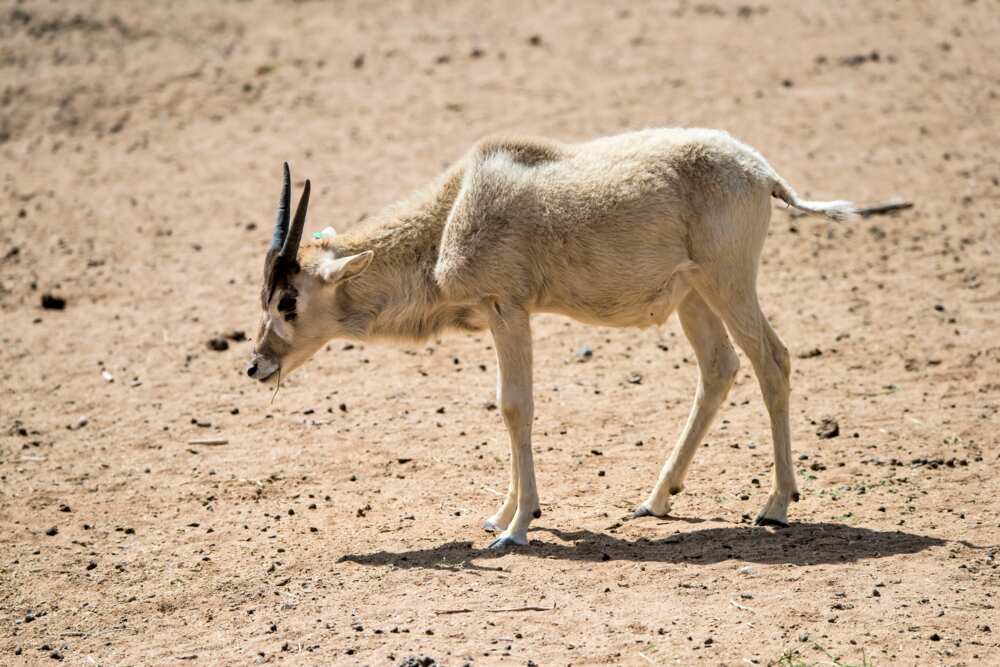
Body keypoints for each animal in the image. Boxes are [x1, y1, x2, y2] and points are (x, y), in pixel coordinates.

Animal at [244, 128, 852, 552]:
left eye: (288, 300)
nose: (256, 365)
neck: (453, 209)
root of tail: (761, 172)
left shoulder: (509, 309)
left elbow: (515, 406)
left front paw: (515, 528)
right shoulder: (501, 315)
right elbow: (508, 407)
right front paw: (503, 513)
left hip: (728, 281)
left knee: (772, 360)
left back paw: (775, 506)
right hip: (693, 294)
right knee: (719, 368)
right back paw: (655, 500)